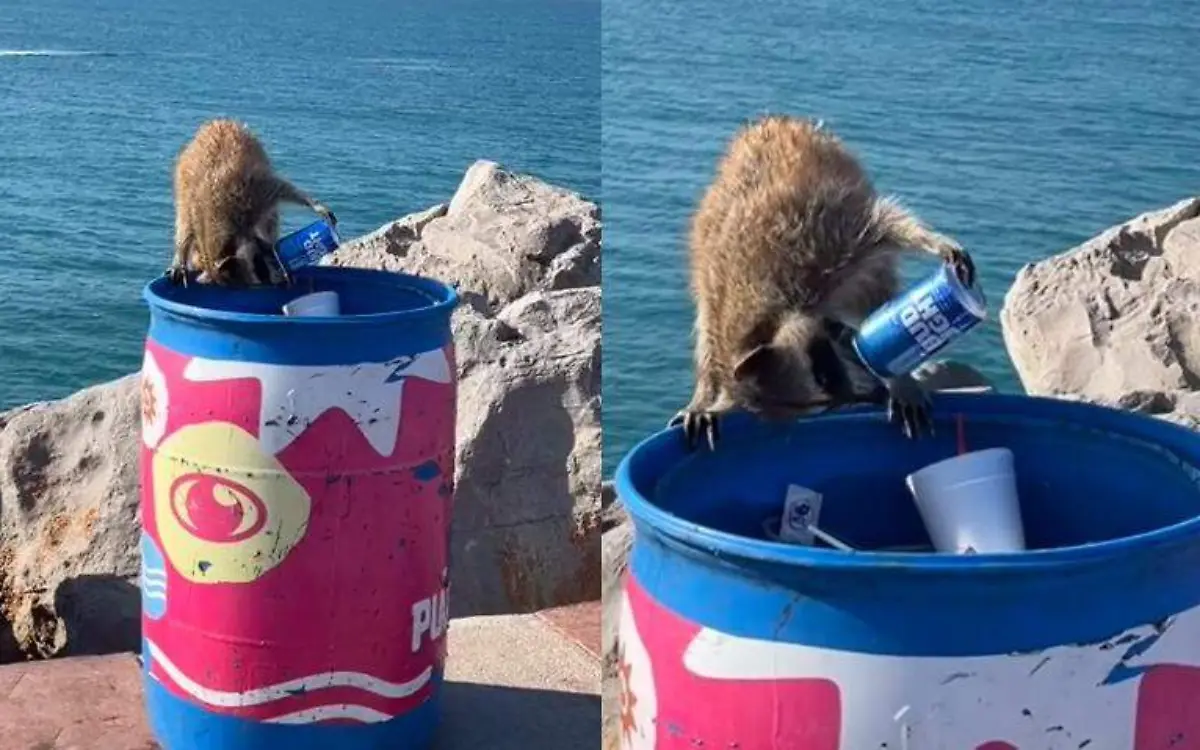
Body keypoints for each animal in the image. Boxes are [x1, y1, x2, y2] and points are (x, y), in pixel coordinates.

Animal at [166, 120, 336, 286]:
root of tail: (218, 121)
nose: (261, 284)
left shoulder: (251, 187)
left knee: (271, 221)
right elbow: (185, 228)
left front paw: (314, 203)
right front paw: (179, 256)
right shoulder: (193, 201)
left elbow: (284, 188)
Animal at [676, 114, 974, 446]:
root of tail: (772, 121)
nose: (874, 395)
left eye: (825, 375)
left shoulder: (815, 239)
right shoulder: (717, 285)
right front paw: (707, 393)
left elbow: (886, 225)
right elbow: (708, 330)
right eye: (825, 404)